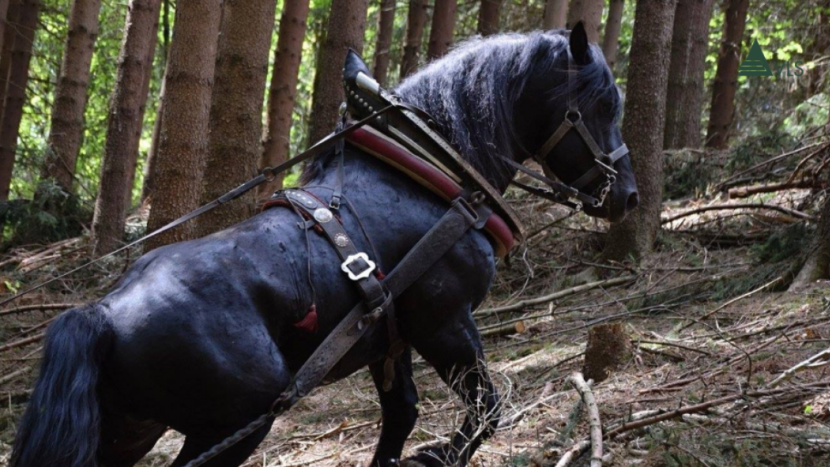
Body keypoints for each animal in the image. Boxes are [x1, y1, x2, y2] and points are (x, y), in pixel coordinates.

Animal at [11, 24, 636, 467]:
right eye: (603, 105)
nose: (627, 196)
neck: (431, 174)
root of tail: (103, 312)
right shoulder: (445, 321)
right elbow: (486, 409)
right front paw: (437, 456)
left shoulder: (390, 340)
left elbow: (401, 416)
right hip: (236, 424)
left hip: (128, 432)